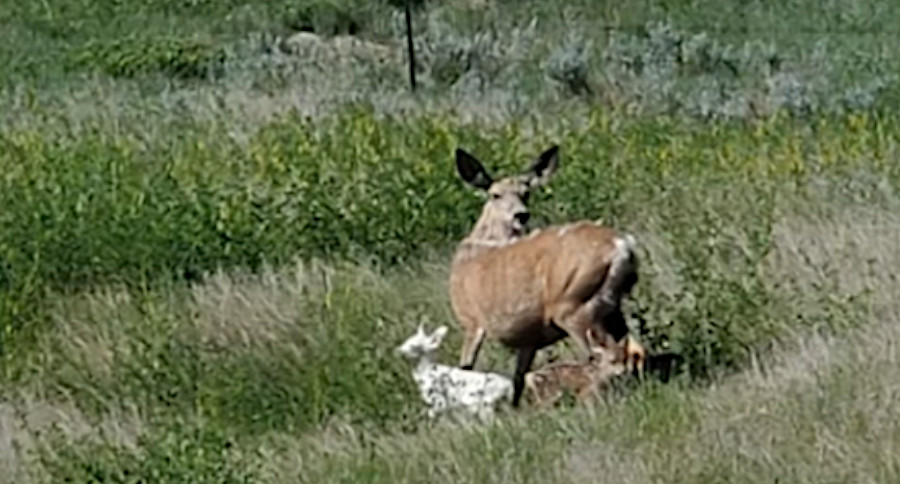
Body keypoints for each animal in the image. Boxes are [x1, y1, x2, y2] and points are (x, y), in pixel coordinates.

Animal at [454, 146, 644, 406]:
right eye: (495, 195)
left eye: (526, 192)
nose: (521, 215)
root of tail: (623, 246)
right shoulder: (528, 336)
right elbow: (518, 378)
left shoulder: (472, 321)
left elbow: (466, 366)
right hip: (613, 305)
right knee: (631, 345)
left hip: (574, 305)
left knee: (601, 354)